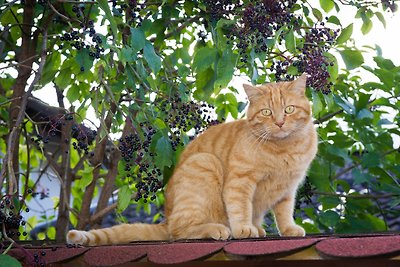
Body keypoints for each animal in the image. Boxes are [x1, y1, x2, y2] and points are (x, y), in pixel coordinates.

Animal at [69, 74, 318, 246]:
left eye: (289, 109)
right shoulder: (240, 182)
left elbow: (284, 213)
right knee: (178, 231)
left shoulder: (287, 189)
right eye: (267, 112)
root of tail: (166, 219)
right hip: (205, 163)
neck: (283, 149)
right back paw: (217, 229)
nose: (279, 122)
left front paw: (289, 229)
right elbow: (240, 208)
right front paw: (244, 229)